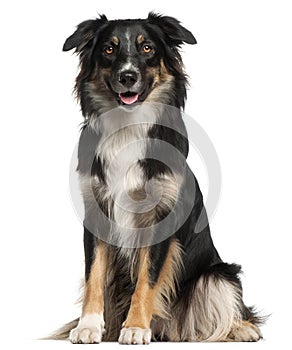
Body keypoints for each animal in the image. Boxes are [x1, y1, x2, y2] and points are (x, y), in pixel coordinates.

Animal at [54, 12, 262, 344]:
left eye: (147, 48)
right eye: (109, 49)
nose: (127, 76)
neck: (128, 126)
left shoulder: (161, 217)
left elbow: (146, 279)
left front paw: (136, 327)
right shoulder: (96, 213)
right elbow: (94, 276)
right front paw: (88, 326)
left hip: (218, 274)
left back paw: (242, 328)